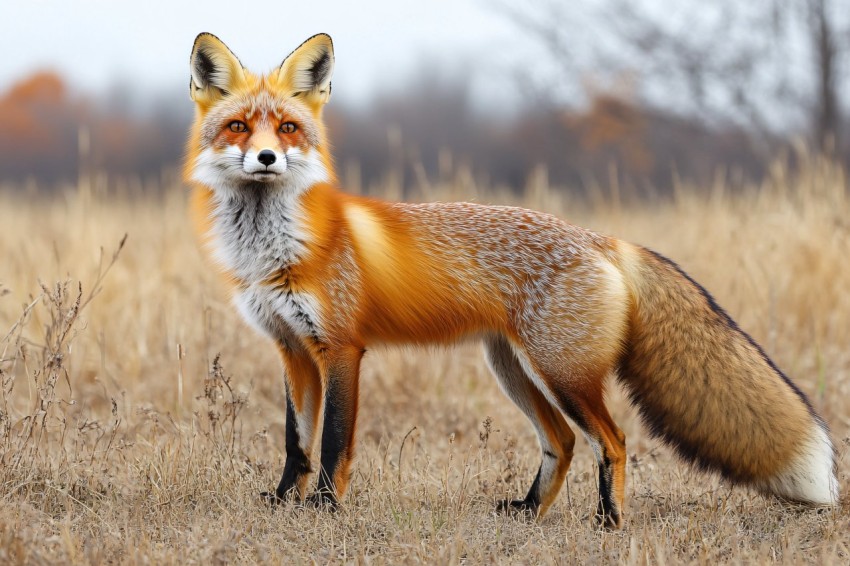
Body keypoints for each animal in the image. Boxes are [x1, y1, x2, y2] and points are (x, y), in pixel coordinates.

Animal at [184, 31, 836, 528]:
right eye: (238, 127)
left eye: (288, 129)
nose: (266, 159)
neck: (277, 251)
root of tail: (601, 238)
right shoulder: (293, 349)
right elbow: (296, 442)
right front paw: (282, 503)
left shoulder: (341, 348)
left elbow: (333, 443)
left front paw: (323, 509)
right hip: (514, 369)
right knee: (564, 442)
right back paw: (529, 512)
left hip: (563, 373)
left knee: (613, 441)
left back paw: (608, 523)